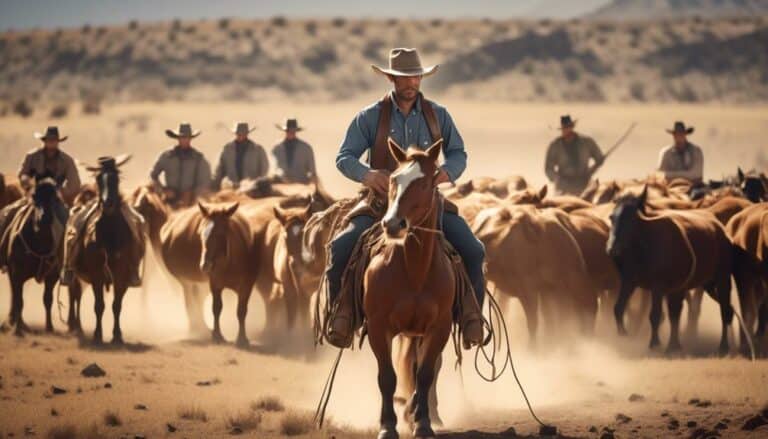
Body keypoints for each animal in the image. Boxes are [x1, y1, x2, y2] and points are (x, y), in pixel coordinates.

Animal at [67, 156, 145, 346]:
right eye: (98, 179)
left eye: (116, 179)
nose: (108, 202)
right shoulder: (97, 275)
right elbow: (99, 305)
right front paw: (97, 334)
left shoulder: (122, 275)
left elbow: (116, 305)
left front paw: (117, 335)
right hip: (75, 275)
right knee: (74, 294)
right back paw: (74, 326)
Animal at [364, 139, 452, 438]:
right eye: (393, 179)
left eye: (424, 183)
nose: (393, 224)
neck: (414, 272)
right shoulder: (378, 327)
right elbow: (386, 377)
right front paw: (387, 426)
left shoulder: (439, 328)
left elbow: (424, 374)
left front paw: (423, 423)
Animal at [608, 187, 736, 356]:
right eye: (611, 217)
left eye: (632, 219)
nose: (612, 249)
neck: (645, 247)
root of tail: (721, 230)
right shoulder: (629, 282)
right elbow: (618, 308)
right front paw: (623, 335)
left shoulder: (658, 287)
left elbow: (655, 315)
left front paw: (655, 344)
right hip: (706, 285)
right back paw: (675, 345)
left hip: (722, 280)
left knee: (724, 310)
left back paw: (723, 346)